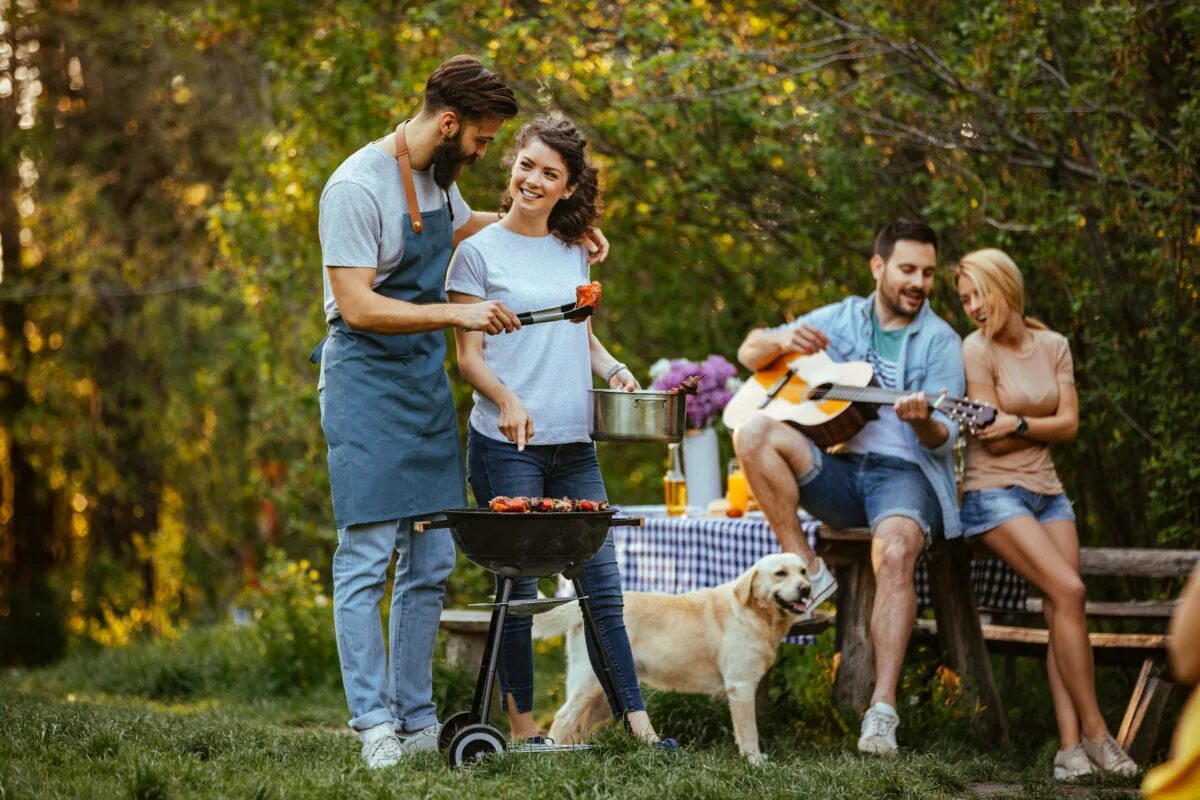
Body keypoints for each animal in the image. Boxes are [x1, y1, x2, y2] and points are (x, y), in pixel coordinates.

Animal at [540, 551, 811, 762]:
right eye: (780, 573)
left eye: (803, 571)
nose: (806, 588)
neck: (755, 614)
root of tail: (580, 606)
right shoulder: (740, 686)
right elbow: (749, 732)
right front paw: (755, 762)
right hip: (589, 683)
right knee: (563, 718)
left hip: (606, 693)